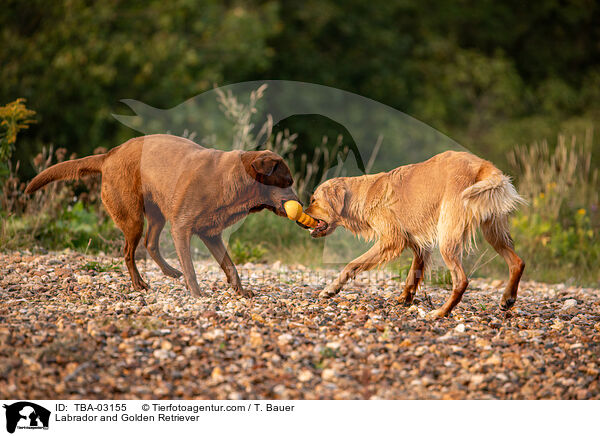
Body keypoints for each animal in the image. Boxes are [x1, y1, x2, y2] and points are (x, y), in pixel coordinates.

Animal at [26, 134, 300, 296]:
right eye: (287, 181)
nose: (301, 202)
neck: (231, 182)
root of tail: (109, 155)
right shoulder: (182, 228)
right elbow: (191, 267)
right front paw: (197, 294)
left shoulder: (211, 234)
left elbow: (229, 265)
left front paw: (240, 291)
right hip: (133, 217)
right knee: (128, 252)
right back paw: (139, 284)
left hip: (156, 214)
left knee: (150, 243)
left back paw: (169, 272)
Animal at [304, 150, 524, 316]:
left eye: (314, 200)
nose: (303, 212)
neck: (363, 194)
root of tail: (482, 165)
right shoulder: (419, 244)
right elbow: (413, 273)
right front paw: (405, 298)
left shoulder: (392, 240)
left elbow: (352, 264)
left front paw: (331, 289)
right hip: (494, 231)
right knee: (517, 262)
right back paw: (507, 298)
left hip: (448, 237)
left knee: (461, 280)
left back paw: (440, 313)